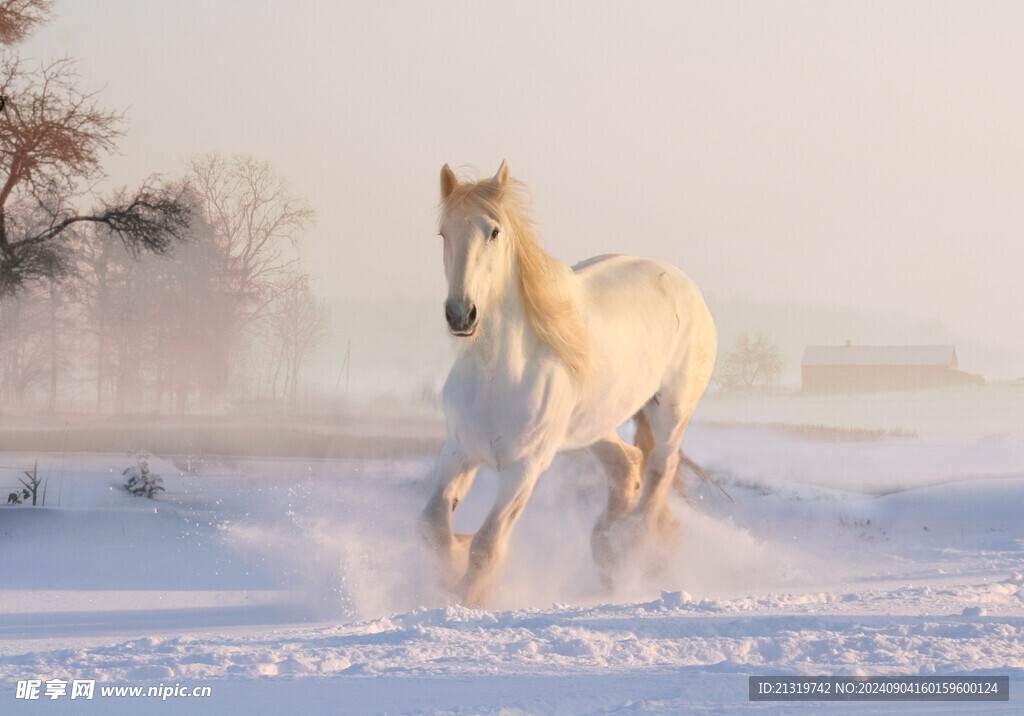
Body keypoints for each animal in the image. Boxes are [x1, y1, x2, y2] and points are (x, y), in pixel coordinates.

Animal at [419, 160, 716, 606]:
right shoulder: (459, 450)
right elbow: (434, 527)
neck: (495, 374)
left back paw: (630, 547)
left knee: (660, 469)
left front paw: (465, 599)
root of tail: (685, 284)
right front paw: (449, 571)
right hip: (594, 424)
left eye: (494, 231)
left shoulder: (525, 467)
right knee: (627, 465)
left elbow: (487, 546)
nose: (460, 314)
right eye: (443, 233)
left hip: (672, 410)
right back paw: (608, 551)